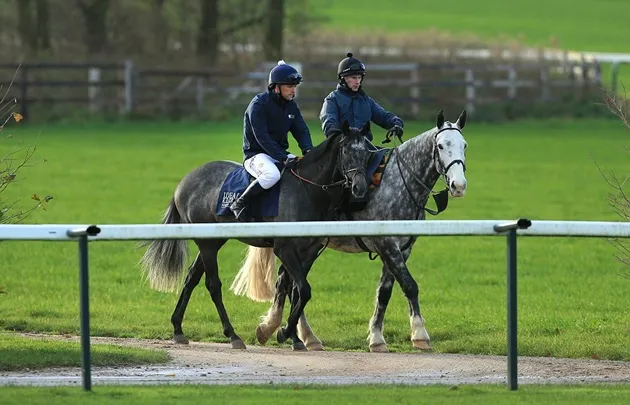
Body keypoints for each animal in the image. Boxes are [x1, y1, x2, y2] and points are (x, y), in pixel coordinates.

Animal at [139, 120, 376, 350]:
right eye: (345, 150)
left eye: (367, 152)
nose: (360, 187)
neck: (308, 190)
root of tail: (184, 181)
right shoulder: (285, 249)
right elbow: (303, 289)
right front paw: (282, 332)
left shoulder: (308, 251)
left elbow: (296, 290)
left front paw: (292, 336)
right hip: (208, 245)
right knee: (213, 285)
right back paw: (232, 335)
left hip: (212, 241)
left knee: (191, 278)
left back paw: (178, 328)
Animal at [232, 109, 470, 350]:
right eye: (441, 145)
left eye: (465, 145)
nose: (458, 185)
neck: (400, 183)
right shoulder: (388, 246)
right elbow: (410, 285)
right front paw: (420, 334)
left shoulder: (403, 249)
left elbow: (384, 292)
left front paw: (377, 338)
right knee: (291, 286)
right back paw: (288, 332)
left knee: (288, 284)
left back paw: (295, 334)